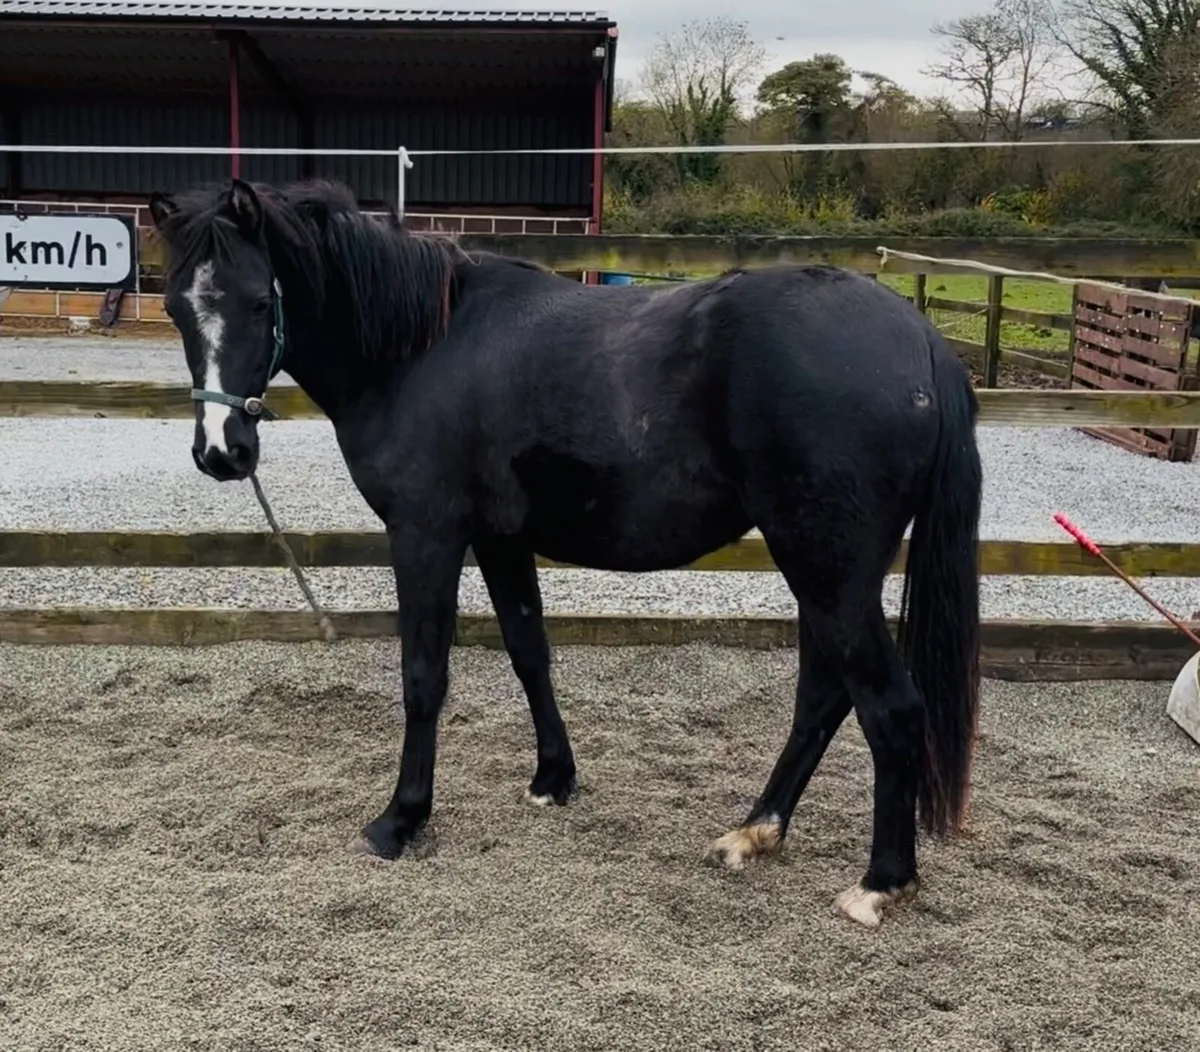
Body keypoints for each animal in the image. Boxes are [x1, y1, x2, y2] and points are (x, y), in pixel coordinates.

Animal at [147, 177, 983, 929]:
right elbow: (529, 652)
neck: (420, 347)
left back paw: (880, 883)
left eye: (260, 302)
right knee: (822, 697)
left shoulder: (426, 534)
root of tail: (923, 344)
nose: (221, 452)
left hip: (827, 570)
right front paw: (553, 777)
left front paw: (401, 819)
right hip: (824, 574)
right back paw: (755, 831)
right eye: (178, 307)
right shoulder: (501, 539)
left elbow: (424, 677)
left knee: (888, 708)